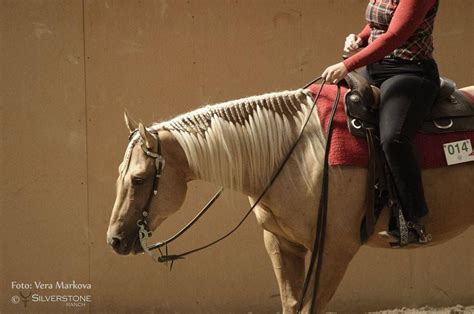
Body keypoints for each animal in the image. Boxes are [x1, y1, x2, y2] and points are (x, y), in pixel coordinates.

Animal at [107, 84, 474, 312]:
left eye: (139, 179)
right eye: (120, 175)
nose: (114, 240)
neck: (297, 153)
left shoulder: (333, 252)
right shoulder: (282, 245)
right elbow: (290, 305)